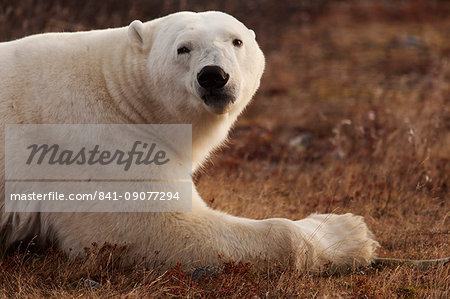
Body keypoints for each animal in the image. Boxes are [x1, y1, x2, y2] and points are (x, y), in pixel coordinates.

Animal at [0, 11, 380, 272]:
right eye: (183, 48)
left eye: (236, 41)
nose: (214, 75)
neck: (119, 91)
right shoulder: (91, 142)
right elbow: (152, 227)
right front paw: (351, 231)